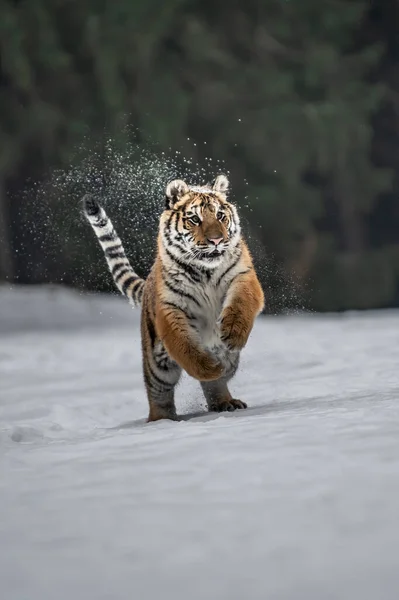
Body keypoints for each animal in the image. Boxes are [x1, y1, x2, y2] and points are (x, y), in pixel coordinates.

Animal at [83, 172, 266, 422]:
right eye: (195, 219)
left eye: (220, 216)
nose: (217, 240)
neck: (205, 271)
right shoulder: (170, 306)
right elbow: (184, 346)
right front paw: (208, 367)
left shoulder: (242, 277)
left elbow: (241, 304)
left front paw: (233, 333)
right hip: (156, 364)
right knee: (158, 392)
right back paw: (162, 420)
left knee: (217, 382)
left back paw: (225, 401)